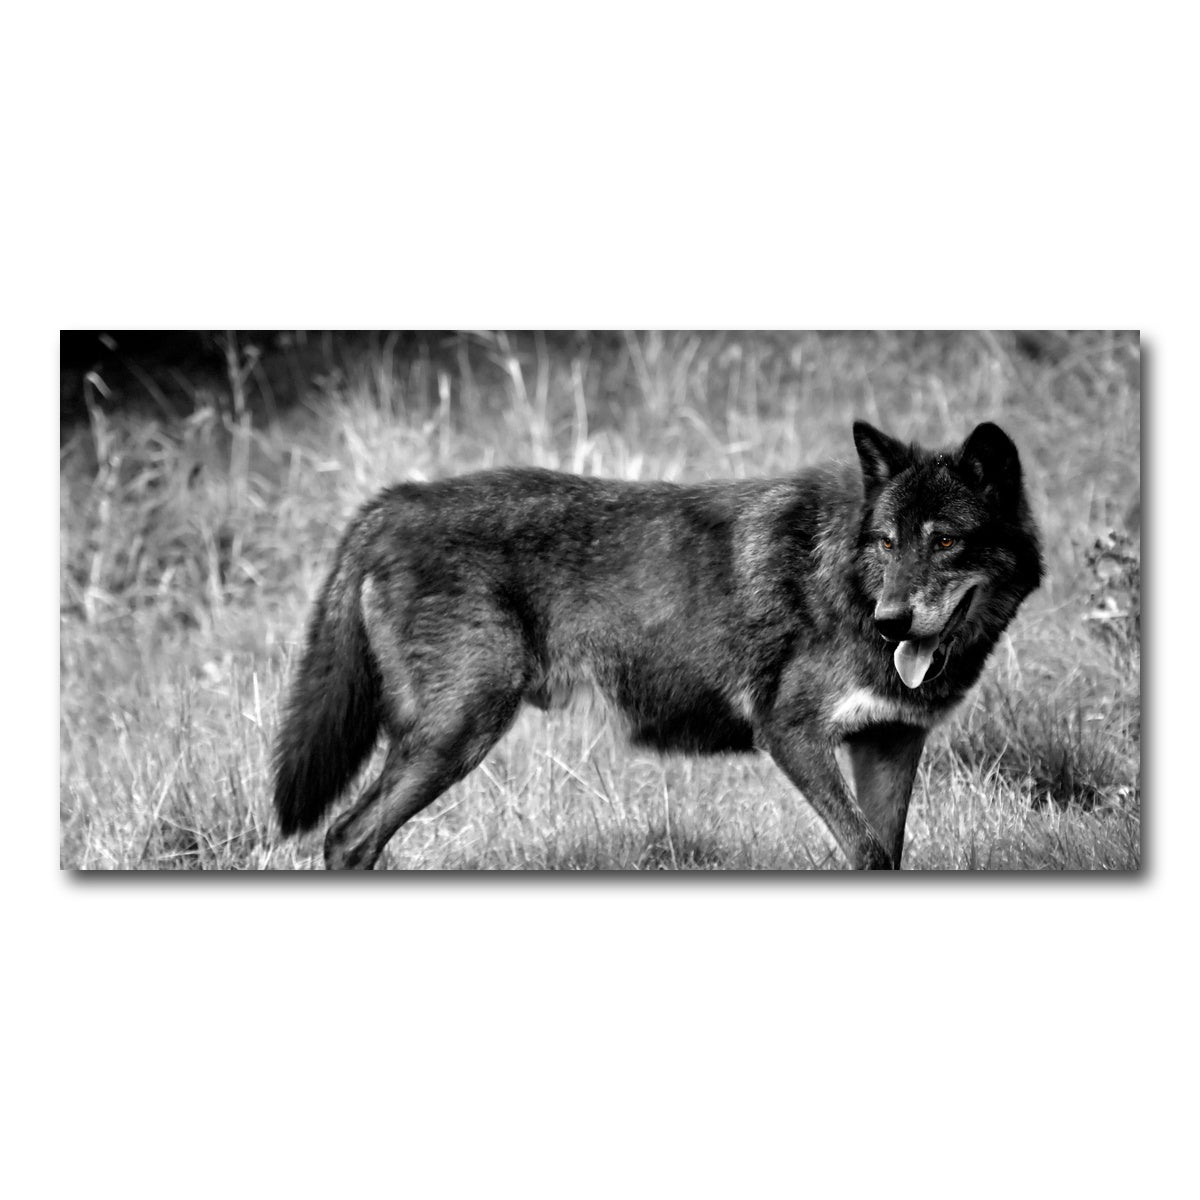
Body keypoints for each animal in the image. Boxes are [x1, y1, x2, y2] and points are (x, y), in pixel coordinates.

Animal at [273, 420, 1042, 870]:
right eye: (886, 542)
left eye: (945, 542)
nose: (892, 623)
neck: (846, 581)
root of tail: (392, 501)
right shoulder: (790, 734)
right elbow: (862, 849)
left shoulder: (889, 742)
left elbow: (884, 853)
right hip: (457, 734)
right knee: (347, 837)